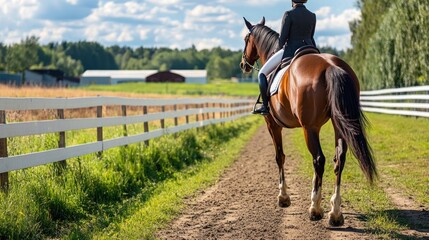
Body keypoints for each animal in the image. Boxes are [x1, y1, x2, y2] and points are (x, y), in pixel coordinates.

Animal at [239, 17, 376, 226]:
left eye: (247, 39)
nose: (243, 64)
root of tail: (331, 66)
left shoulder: (272, 125)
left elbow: (279, 157)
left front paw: (283, 197)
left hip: (309, 127)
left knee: (319, 159)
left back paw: (315, 209)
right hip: (339, 123)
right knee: (339, 159)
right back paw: (335, 213)